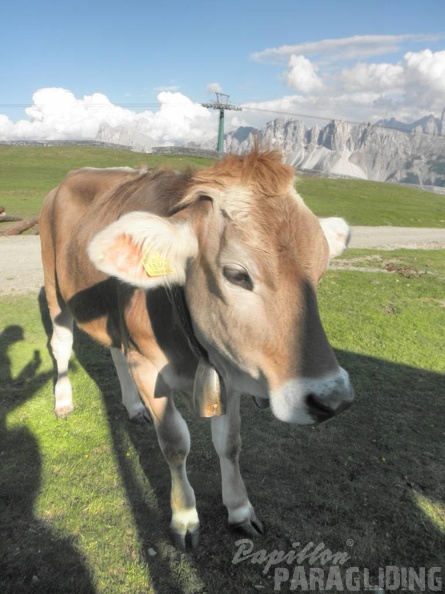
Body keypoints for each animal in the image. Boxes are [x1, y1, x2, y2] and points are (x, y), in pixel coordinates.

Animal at [40, 150, 354, 548]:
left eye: (320, 271)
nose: (333, 399)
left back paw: (132, 407)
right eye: (236, 274)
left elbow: (230, 443)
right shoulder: (147, 366)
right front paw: (185, 517)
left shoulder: (231, 365)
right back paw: (63, 401)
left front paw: (240, 510)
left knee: (115, 351)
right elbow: (176, 443)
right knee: (61, 343)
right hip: (54, 285)